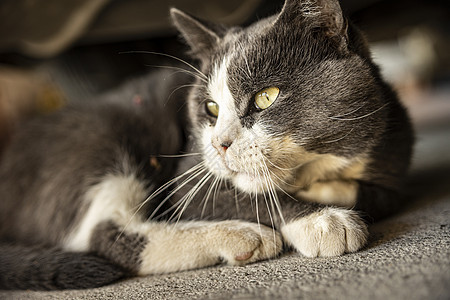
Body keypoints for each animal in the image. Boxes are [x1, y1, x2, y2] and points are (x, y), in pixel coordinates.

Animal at [0, 0, 414, 290]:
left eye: (266, 97)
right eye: (210, 108)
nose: (219, 145)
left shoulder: (393, 145)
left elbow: (385, 194)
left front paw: (331, 191)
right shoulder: (188, 178)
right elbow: (250, 196)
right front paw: (322, 220)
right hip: (104, 133)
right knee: (106, 233)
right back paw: (241, 236)